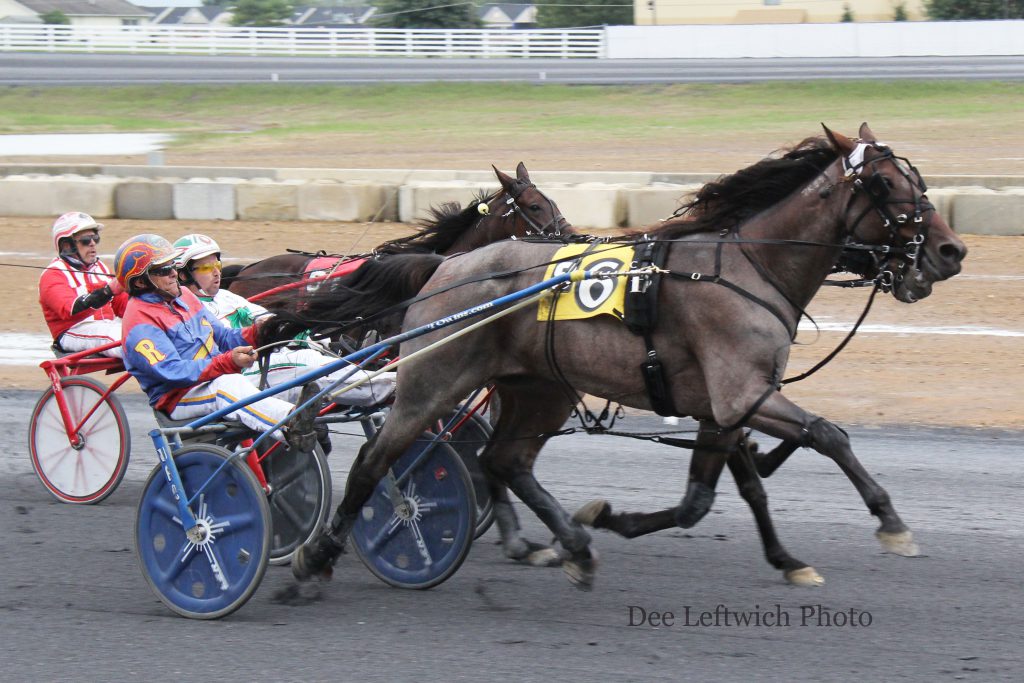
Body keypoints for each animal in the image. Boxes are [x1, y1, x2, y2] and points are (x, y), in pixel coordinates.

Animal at [268, 125, 962, 589]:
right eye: (884, 183)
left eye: (917, 179)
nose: (950, 251)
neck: (747, 268)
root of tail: (446, 267)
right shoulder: (743, 394)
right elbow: (828, 434)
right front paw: (891, 522)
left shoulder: (724, 407)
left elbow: (712, 496)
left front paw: (784, 560)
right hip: (431, 381)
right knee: (376, 463)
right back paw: (315, 558)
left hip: (537, 389)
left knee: (503, 460)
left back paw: (567, 544)